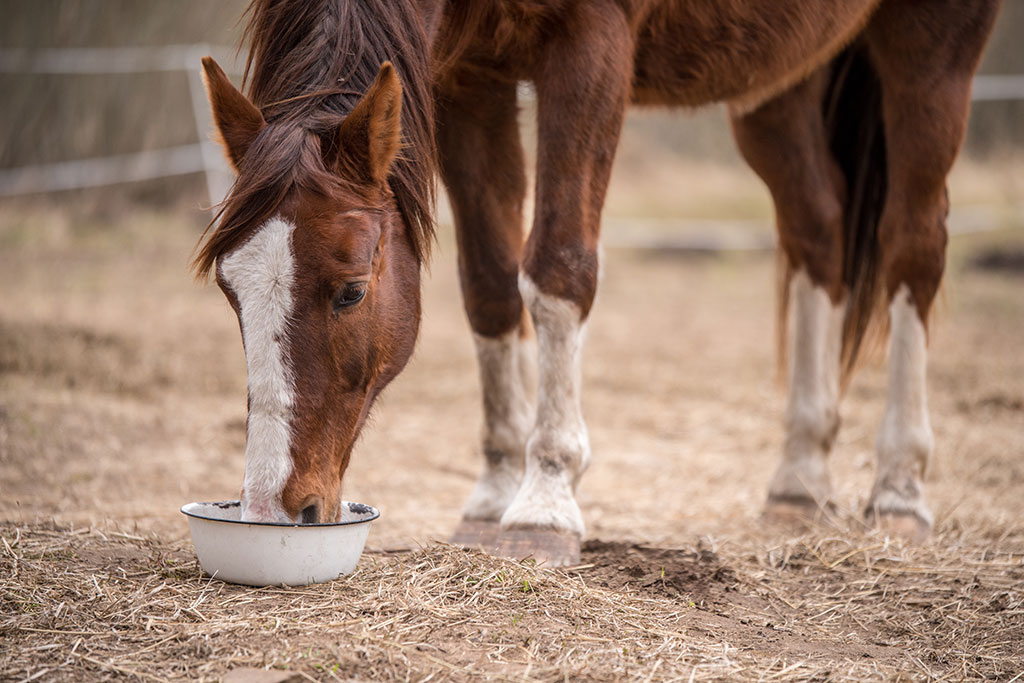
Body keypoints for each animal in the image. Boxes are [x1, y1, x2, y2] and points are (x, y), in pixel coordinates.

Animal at [195, 0, 1003, 565]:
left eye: (352, 291)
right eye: (231, 291)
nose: (274, 510)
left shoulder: (589, 48)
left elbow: (558, 264)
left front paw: (545, 501)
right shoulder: (469, 78)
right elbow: (489, 282)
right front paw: (494, 492)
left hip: (932, 53)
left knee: (914, 246)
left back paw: (899, 490)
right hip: (780, 84)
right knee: (817, 231)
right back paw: (798, 478)